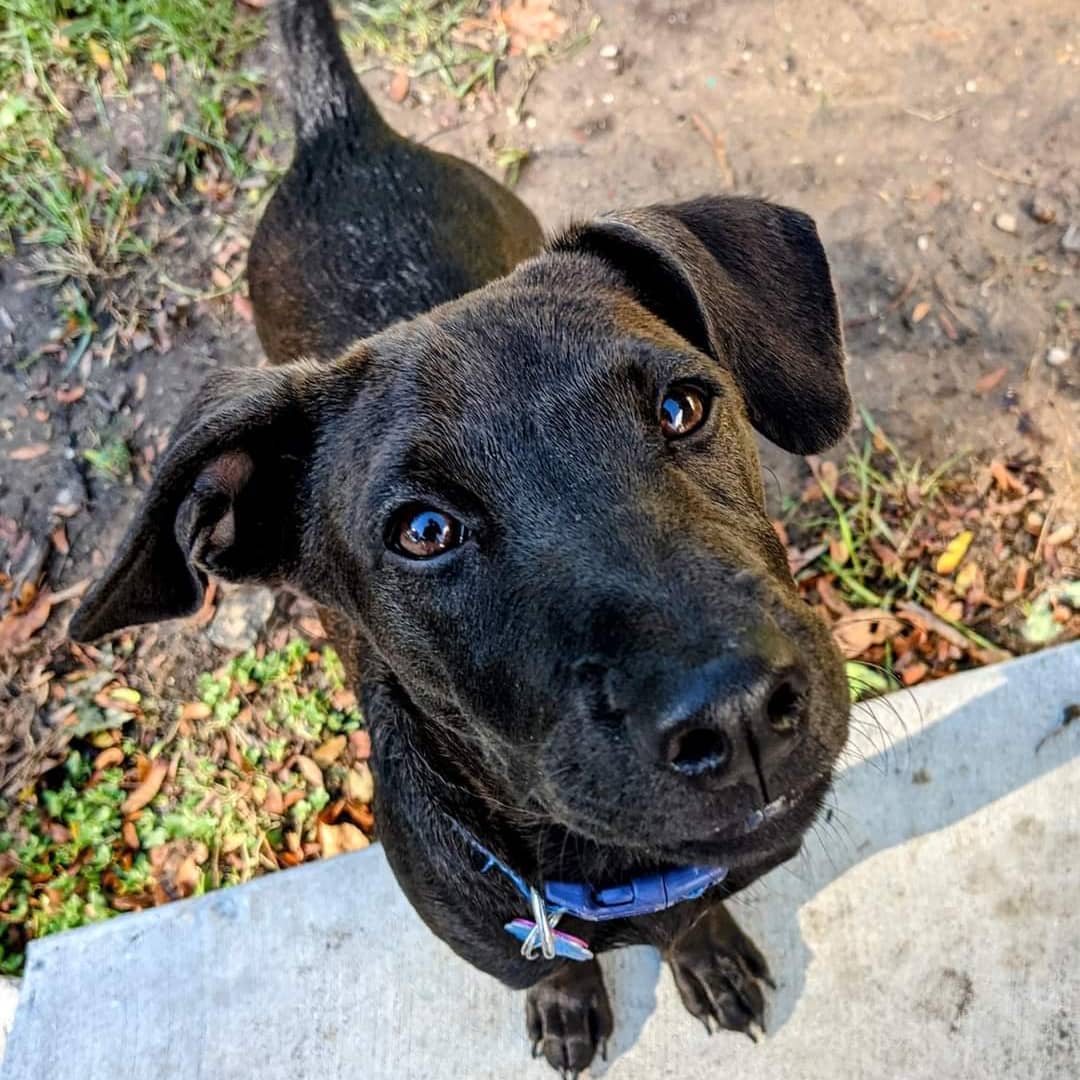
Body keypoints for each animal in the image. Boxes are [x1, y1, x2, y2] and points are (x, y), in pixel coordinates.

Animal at [73, 4, 851, 1075]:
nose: (738, 716)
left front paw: (709, 955)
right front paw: (568, 1001)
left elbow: (693, 917)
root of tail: (342, 134)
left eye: (683, 406)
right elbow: (546, 968)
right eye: (424, 532)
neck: (597, 872)